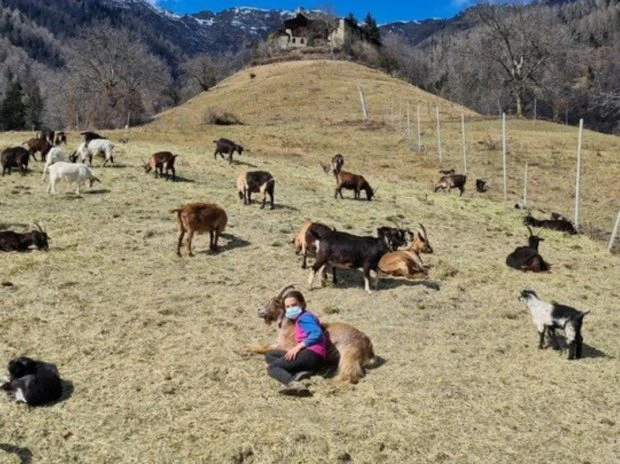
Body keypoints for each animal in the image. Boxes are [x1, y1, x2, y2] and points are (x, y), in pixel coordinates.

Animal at [245, 285, 379, 384]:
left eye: (276, 302)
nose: (259, 310)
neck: (289, 325)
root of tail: (368, 346)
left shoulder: (287, 347)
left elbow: (266, 350)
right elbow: (263, 346)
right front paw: (245, 349)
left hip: (349, 354)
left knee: (351, 374)